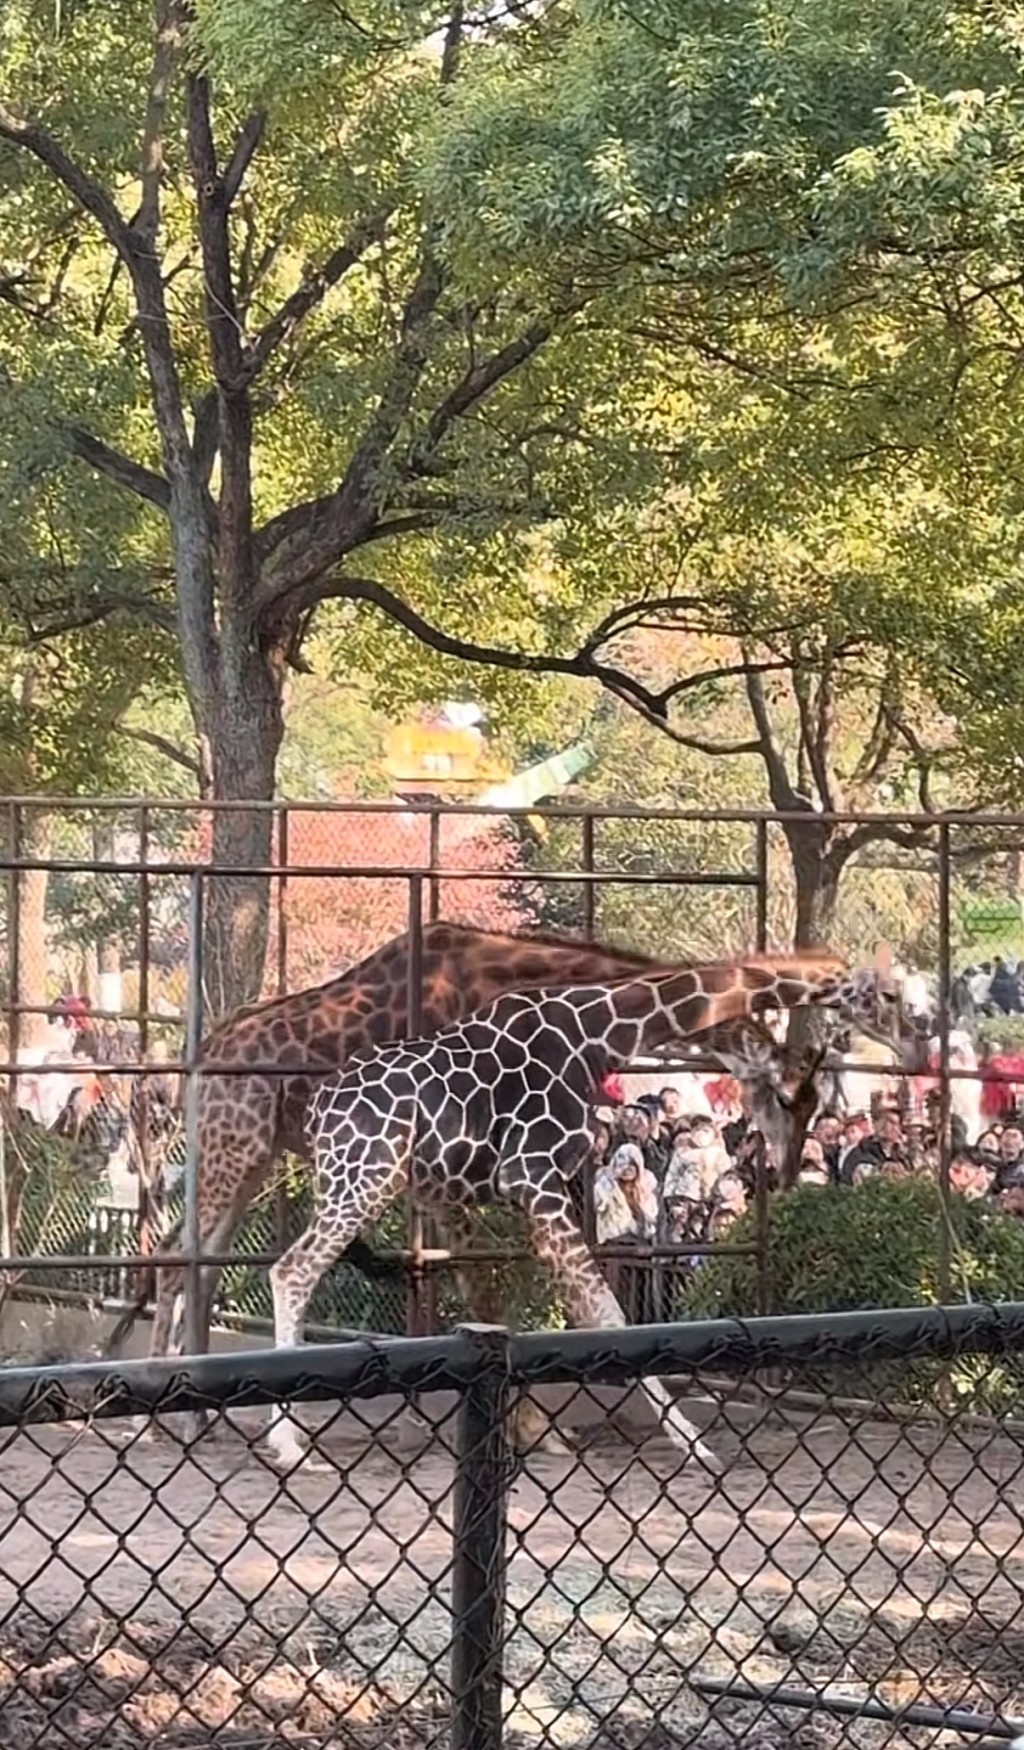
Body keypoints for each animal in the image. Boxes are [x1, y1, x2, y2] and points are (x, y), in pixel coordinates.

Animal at [259, 952, 924, 1470]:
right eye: (887, 995)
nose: (917, 1048)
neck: (597, 1032)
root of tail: (319, 1111)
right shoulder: (532, 1176)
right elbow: (607, 1312)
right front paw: (694, 1444)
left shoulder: (505, 1191)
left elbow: (514, 1306)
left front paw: (537, 1431)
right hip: (361, 1179)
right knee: (291, 1270)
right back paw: (289, 1444)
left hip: (373, 1182)